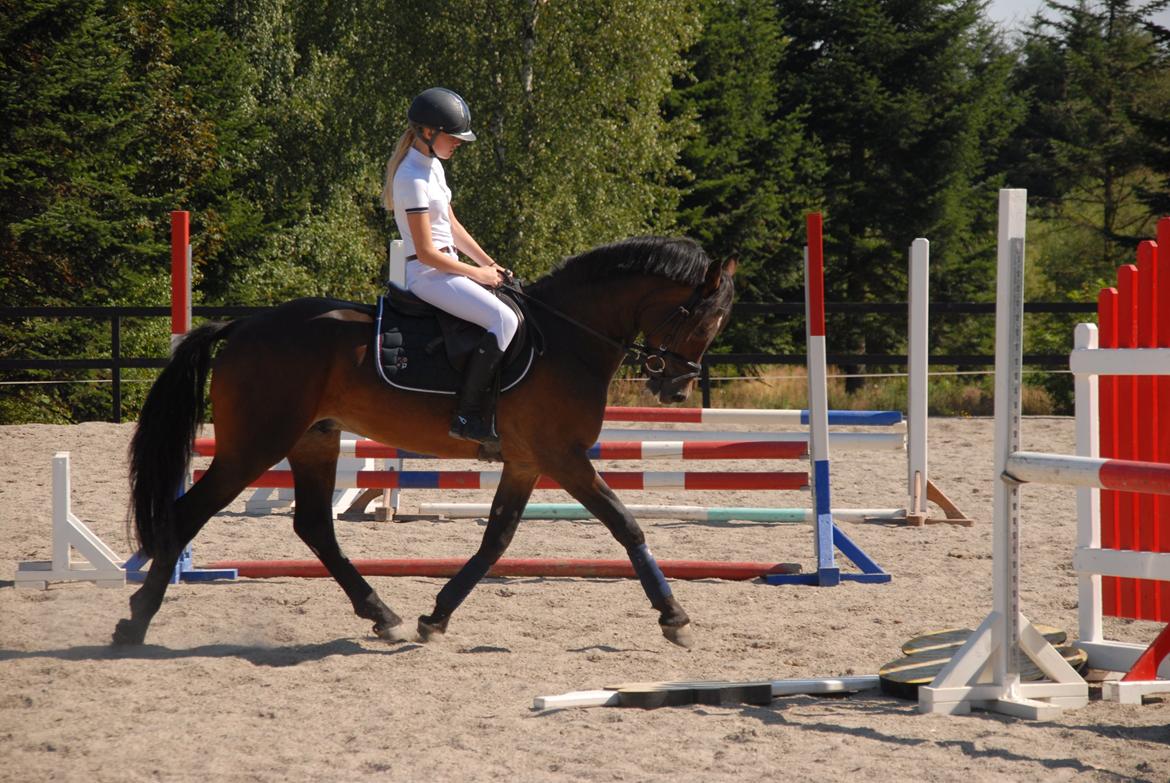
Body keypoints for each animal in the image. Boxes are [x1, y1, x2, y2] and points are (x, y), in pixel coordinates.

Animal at [114, 236, 734, 646]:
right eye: (704, 319)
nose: (676, 388)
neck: (566, 338)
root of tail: (243, 325)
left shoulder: (527, 462)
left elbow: (496, 539)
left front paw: (435, 617)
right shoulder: (564, 458)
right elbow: (626, 525)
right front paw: (674, 618)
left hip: (314, 441)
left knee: (314, 526)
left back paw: (381, 614)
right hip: (255, 446)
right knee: (187, 512)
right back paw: (136, 618)